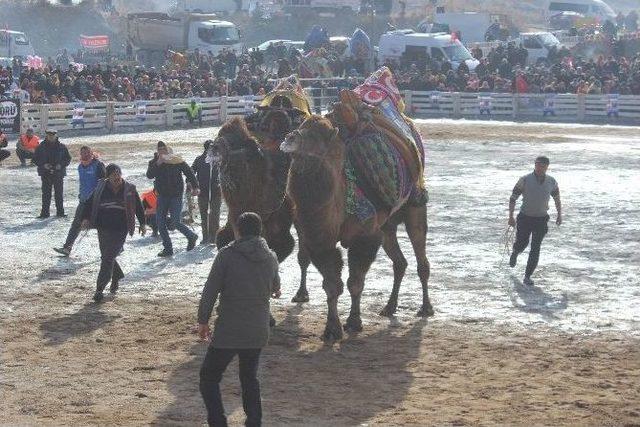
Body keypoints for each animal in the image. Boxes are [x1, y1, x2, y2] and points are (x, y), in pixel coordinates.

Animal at [282, 115, 436, 342]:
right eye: (300, 126)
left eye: (314, 137)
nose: (289, 137)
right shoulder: (321, 240)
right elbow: (331, 284)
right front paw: (332, 329)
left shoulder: (365, 237)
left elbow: (355, 282)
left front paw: (354, 322)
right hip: (387, 226)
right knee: (400, 262)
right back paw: (389, 307)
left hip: (415, 207)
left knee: (421, 258)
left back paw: (426, 308)